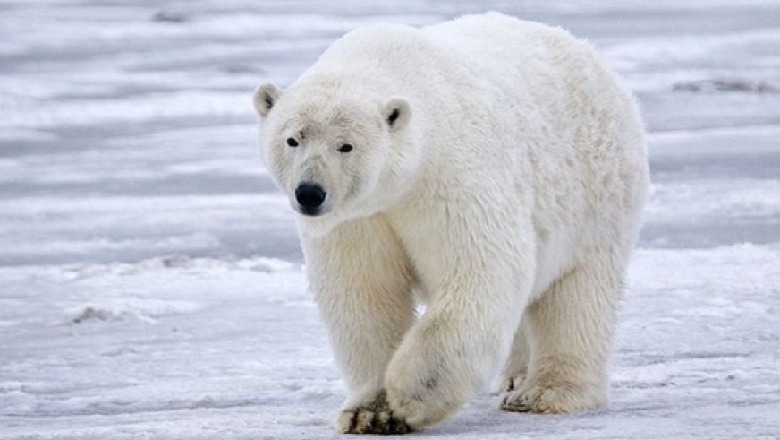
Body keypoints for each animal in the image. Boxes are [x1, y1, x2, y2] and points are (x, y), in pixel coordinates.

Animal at [253, 12, 648, 434]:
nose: (310, 193)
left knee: (577, 296)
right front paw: (369, 412)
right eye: (292, 139)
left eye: (346, 145)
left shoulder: (450, 177)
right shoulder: (358, 219)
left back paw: (544, 393)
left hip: (596, 196)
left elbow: (480, 270)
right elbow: (364, 294)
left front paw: (411, 394)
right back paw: (514, 376)